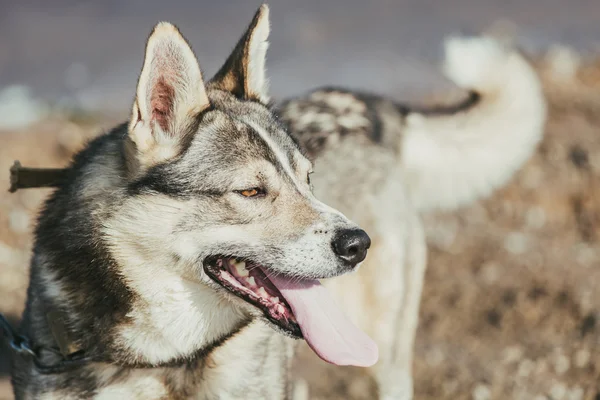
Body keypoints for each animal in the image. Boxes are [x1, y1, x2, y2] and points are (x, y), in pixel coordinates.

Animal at [7, 3, 548, 400]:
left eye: (309, 180)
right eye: (250, 192)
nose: (358, 244)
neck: (169, 357)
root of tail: (370, 105)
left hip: (387, 347)